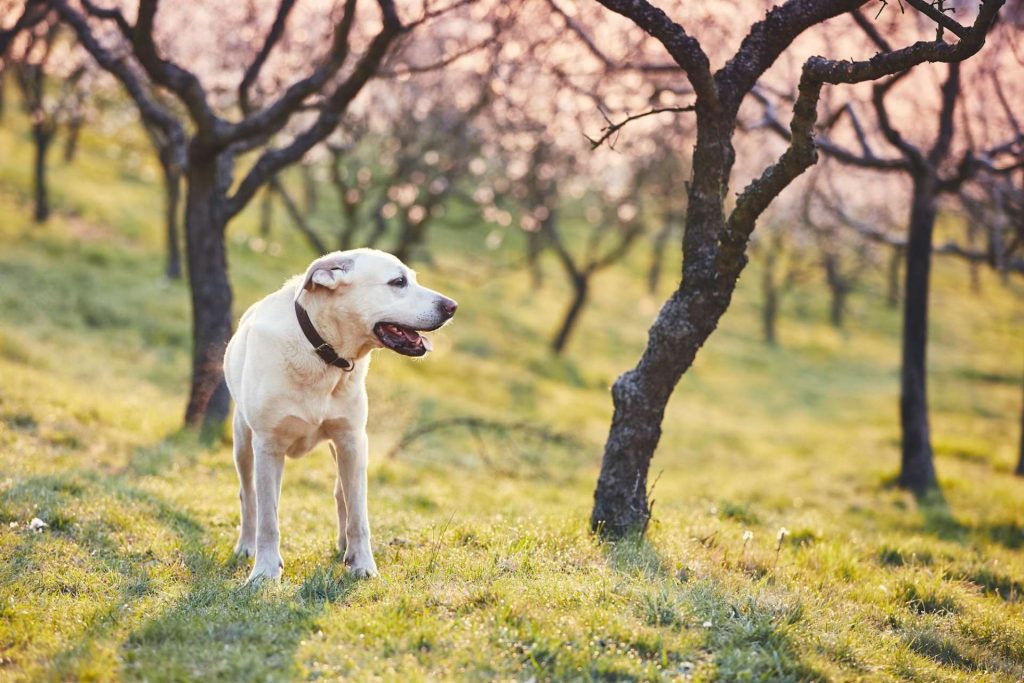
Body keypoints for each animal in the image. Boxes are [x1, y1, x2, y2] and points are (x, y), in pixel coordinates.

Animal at [228, 249, 460, 581]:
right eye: (398, 282)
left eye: (412, 278)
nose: (452, 306)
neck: (321, 353)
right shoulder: (268, 446)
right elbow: (268, 519)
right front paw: (265, 572)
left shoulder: (352, 440)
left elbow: (358, 515)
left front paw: (362, 564)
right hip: (243, 443)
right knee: (249, 496)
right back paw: (246, 546)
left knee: (342, 495)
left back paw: (343, 547)